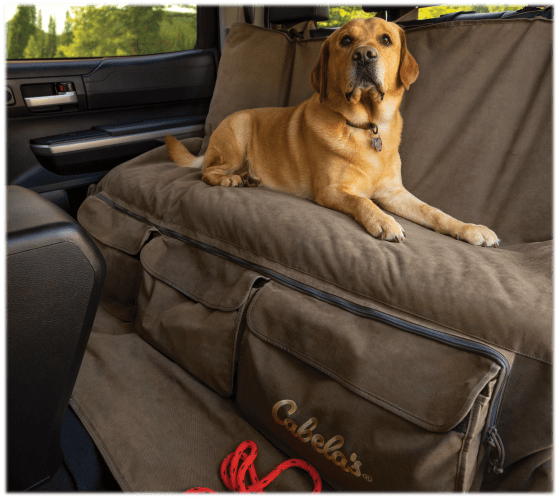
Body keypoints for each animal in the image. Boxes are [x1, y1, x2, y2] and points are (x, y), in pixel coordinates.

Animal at [165, 17, 498, 246]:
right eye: (346, 40)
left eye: (386, 39)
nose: (364, 55)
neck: (366, 127)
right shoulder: (332, 190)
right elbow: (362, 201)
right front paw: (384, 221)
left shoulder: (394, 193)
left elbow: (434, 211)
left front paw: (470, 229)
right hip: (238, 132)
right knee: (208, 172)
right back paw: (233, 178)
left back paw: (249, 177)